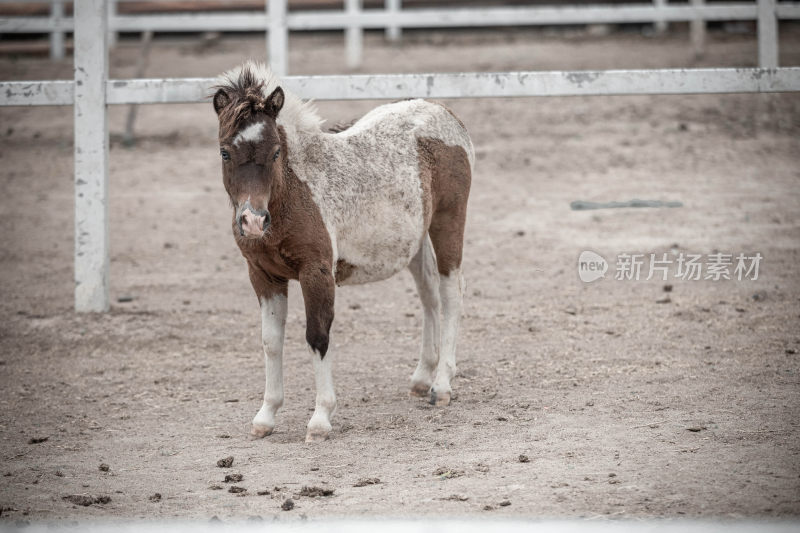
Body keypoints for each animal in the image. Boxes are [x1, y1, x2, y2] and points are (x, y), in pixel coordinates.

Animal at [212, 62, 476, 442]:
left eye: (275, 152)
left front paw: (320, 419)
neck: (292, 191)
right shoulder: (263, 276)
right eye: (225, 152)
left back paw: (441, 385)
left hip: (448, 221)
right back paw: (421, 377)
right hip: (413, 239)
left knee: (450, 291)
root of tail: (443, 111)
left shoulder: (316, 272)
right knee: (429, 294)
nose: (253, 221)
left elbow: (317, 337)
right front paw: (266, 416)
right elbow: (271, 342)